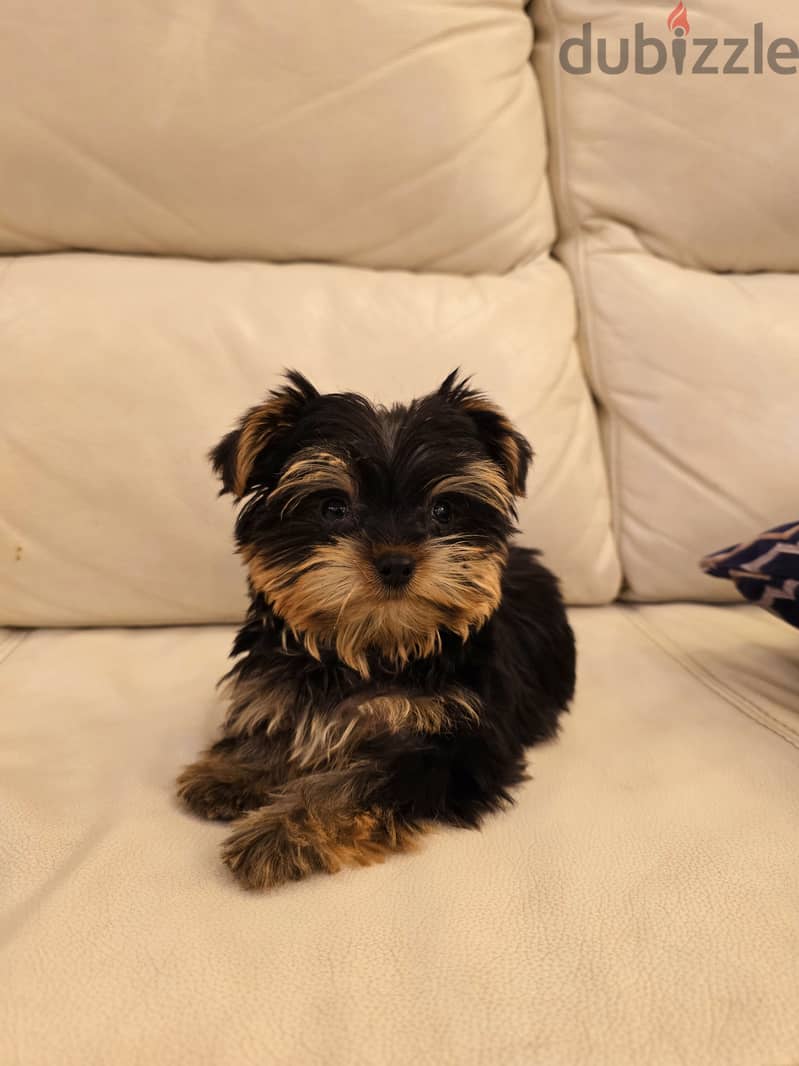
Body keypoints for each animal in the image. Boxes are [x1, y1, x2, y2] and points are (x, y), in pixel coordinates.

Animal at [176, 370, 575, 886]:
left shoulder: (457, 746)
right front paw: (233, 772)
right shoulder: (280, 679)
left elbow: (361, 782)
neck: (372, 646)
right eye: (333, 508)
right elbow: (277, 716)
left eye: (443, 511)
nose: (396, 562)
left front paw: (277, 834)